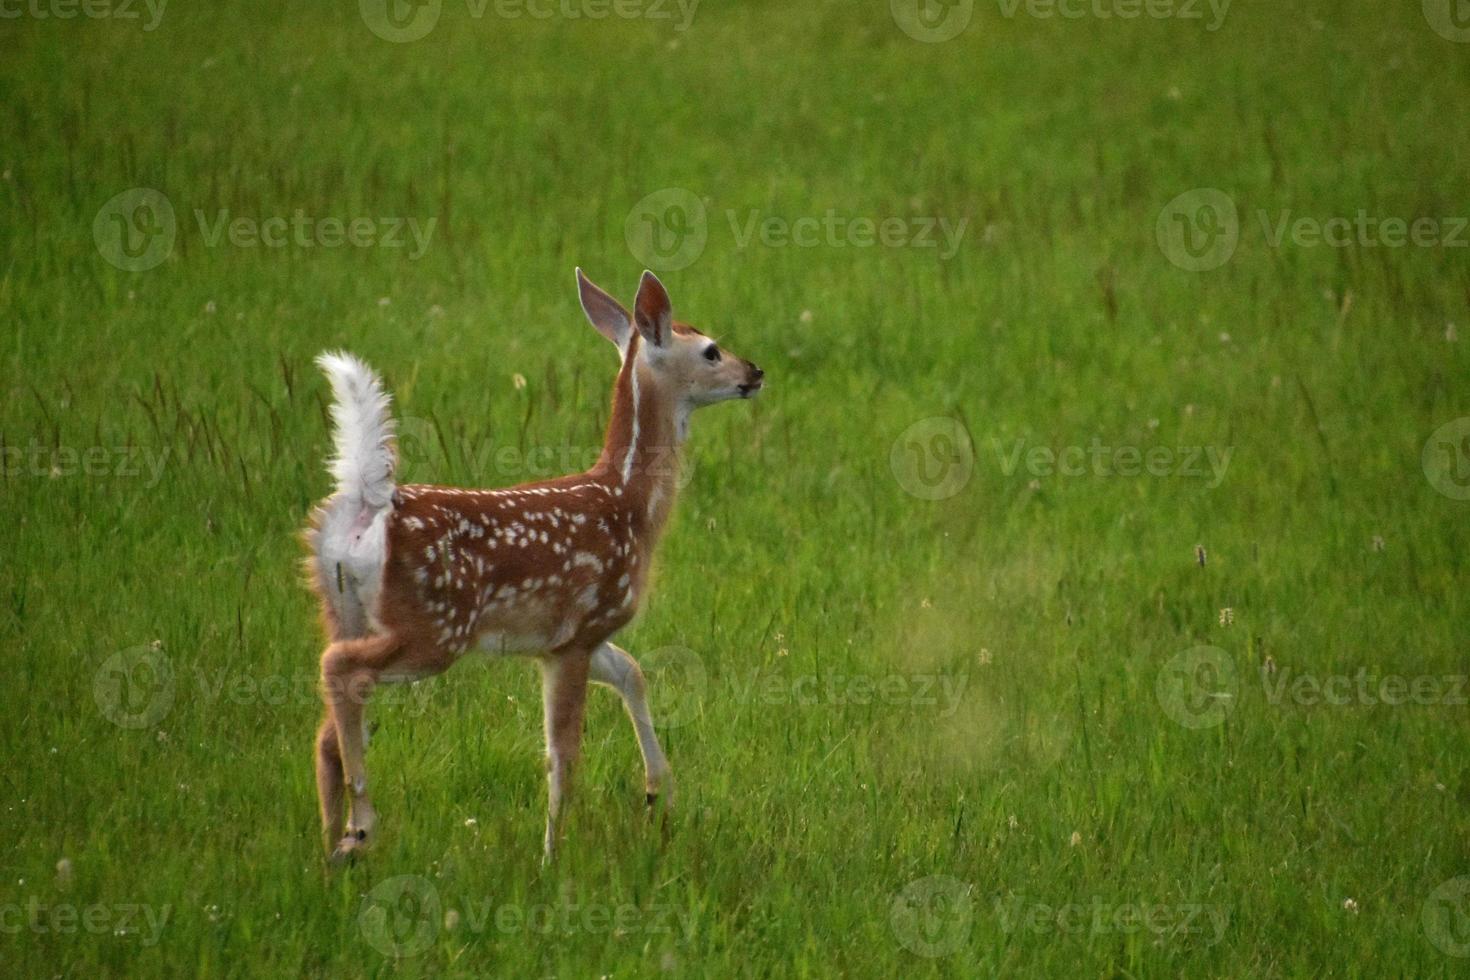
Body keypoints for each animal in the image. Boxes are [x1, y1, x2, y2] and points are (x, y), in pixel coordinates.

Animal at [304, 271, 770, 863]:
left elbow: (632, 672)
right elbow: (563, 755)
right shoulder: (580, 630)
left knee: (327, 731)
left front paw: (658, 793)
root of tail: (366, 505)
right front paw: (553, 855)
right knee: (341, 669)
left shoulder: (568, 638)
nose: (754, 372)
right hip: (433, 625)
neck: (628, 502)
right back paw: (361, 824)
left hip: (342, 607)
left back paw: (332, 847)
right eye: (711, 350)